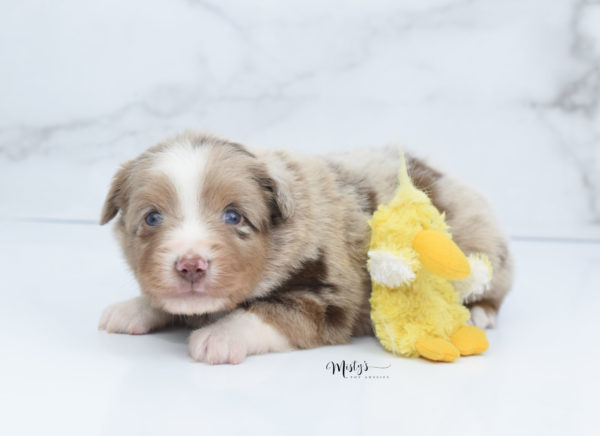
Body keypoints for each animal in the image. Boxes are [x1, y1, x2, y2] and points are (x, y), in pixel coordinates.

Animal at [99, 133, 516, 364]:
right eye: (152, 218)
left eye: (233, 216)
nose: (190, 266)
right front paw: (132, 308)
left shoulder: (333, 296)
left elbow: (271, 312)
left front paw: (220, 336)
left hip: (482, 248)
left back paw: (479, 313)